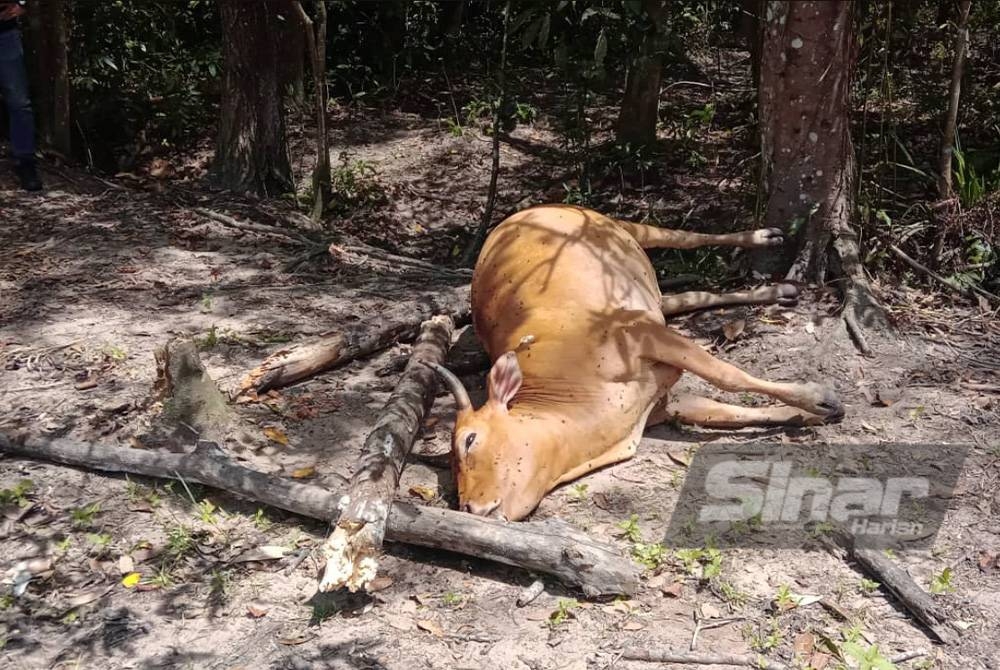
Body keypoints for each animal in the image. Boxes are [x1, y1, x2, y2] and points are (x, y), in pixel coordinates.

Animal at [426, 206, 840, 524]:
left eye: (469, 440)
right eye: (449, 465)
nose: (473, 508)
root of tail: (514, 216)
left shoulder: (641, 334)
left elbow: (728, 377)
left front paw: (818, 398)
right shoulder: (661, 401)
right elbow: (724, 411)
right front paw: (806, 415)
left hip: (622, 228)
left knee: (682, 237)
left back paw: (766, 237)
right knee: (687, 296)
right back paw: (780, 289)